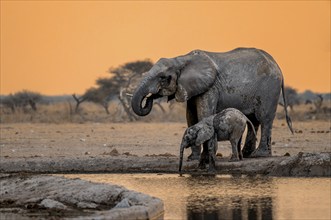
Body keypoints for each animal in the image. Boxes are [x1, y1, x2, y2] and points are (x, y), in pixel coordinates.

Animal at [131, 47, 294, 160]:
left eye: (163, 78)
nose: (150, 97)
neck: (181, 59)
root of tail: (277, 66)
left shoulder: (210, 87)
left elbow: (204, 113)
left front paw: (207, 156)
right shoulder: (192, 87)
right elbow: (190, 116)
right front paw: (193, 158)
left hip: (269, 89)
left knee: (264, 118)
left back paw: (258, 155)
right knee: (253, 120)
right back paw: (247, 155)